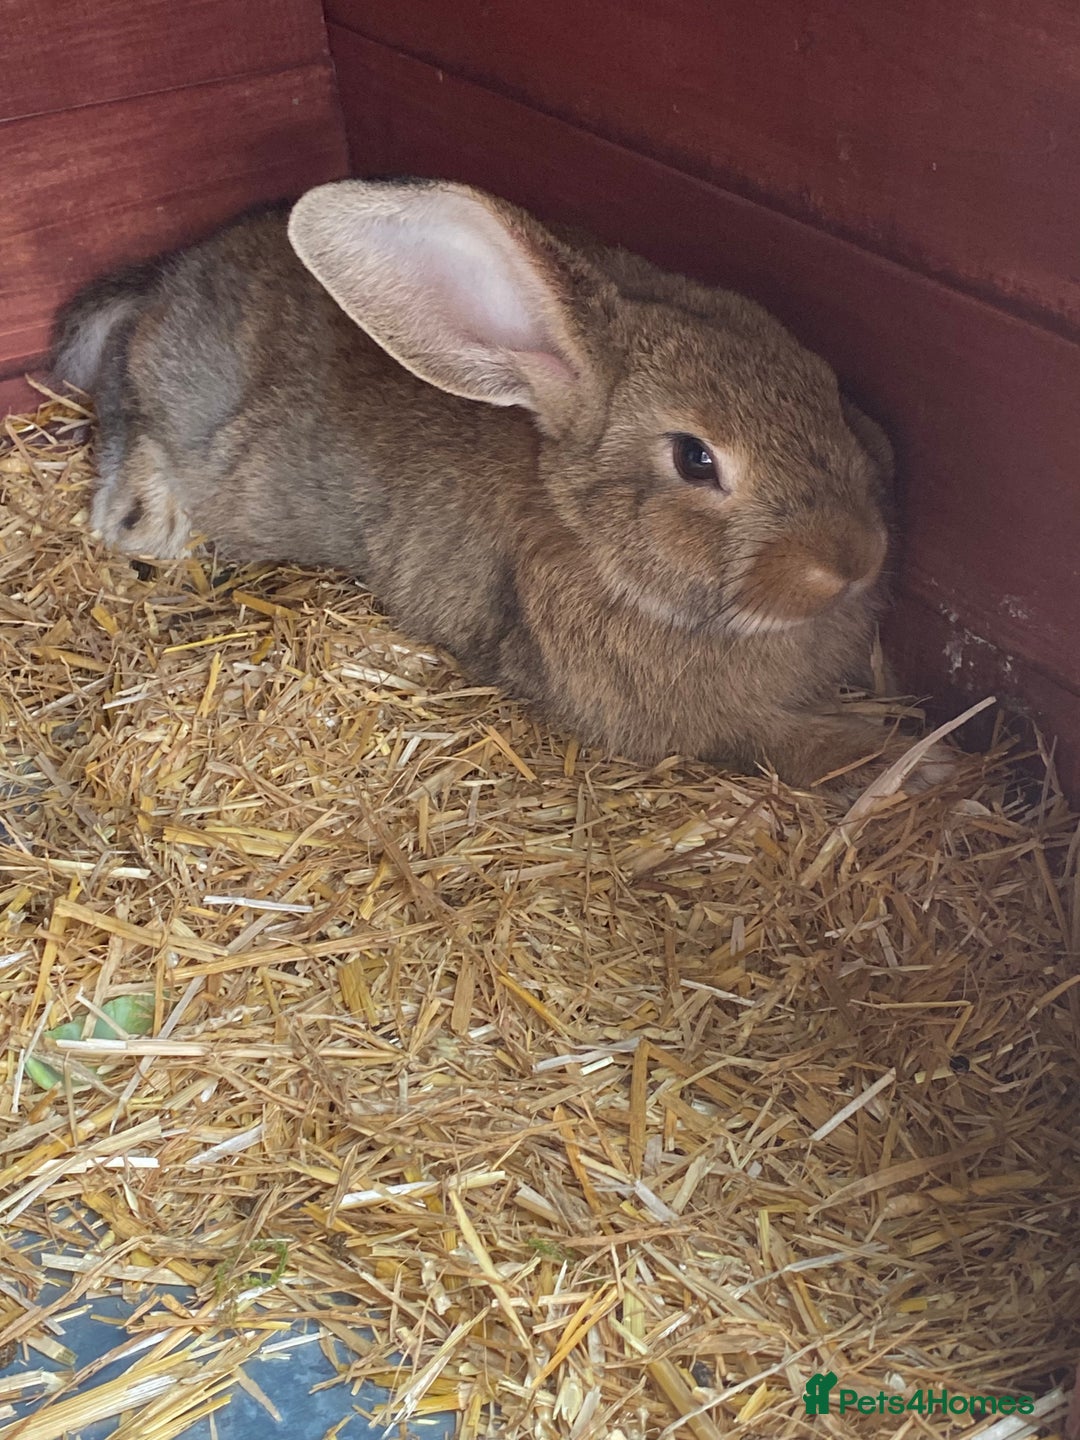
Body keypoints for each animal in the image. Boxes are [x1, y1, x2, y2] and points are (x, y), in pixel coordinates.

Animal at [51, 178, 953, 790]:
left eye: (826, 386)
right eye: (696, 460)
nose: (855, 559)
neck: (600, 547)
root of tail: (174, 276)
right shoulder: (709, 729)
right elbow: (803, 749)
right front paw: (930, 773)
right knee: (126, 377)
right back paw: (143, 517)